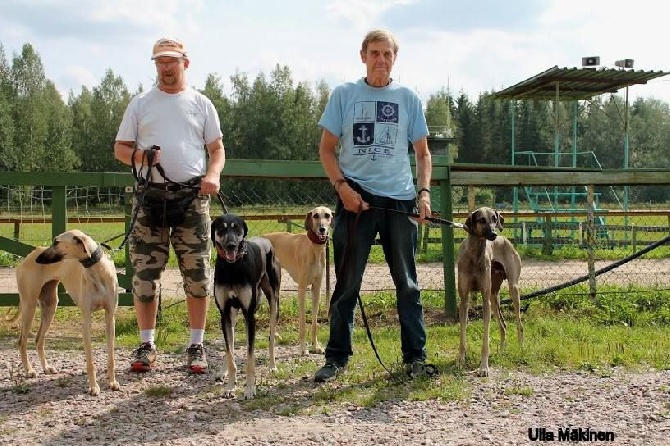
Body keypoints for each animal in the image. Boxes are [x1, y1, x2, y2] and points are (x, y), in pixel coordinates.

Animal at [15, 230, 120, 394]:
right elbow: (90, 360)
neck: (96, 269)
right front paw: (93, 387)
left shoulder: (110, 318)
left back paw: (46, 368)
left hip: (50, 306)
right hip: (29, 306)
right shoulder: (86, 320)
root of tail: (27, 257)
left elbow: (111, 358)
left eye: (56, 242)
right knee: (22, 341)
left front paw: (112, 382)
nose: (38, 260)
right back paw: (29, 370)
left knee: (39, 339)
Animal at [213, 214, 280, 398]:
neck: (232, 267)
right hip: (234, 314)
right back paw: (222, 372)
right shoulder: (225, 314)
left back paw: (272, 366)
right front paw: (230, 386)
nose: (231, 245)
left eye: (237, 228)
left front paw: (250, 388)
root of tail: (266, 240)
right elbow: (230, 353)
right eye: (221, 229)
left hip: (273, 303)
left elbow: (250, 358)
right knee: (230, 345)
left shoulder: (250, 316)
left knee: (271, 338)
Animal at [264, 206, 334, 356]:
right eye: (315, 215)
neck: (313, 247)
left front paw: (316, 347)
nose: (322, 229)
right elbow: (302, 323)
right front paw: (303, 348)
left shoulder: (316, 288)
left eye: (327, 215)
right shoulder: (301, 289)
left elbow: (314, 323)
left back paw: (275, 334)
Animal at [456, 207, 524, 374]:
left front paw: (483, 367)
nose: (494, 234)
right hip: (494, 297)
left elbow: (485, 339)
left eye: (494, 218)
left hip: (512, 290)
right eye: (481, 220)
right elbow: (462, 334)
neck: (474, 254)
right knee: (503, 325)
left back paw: (520, 348)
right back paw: (502, 351)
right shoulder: (464, 301)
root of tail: (505, 239)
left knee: (519, 323)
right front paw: (460, 361)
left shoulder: (485, 300)